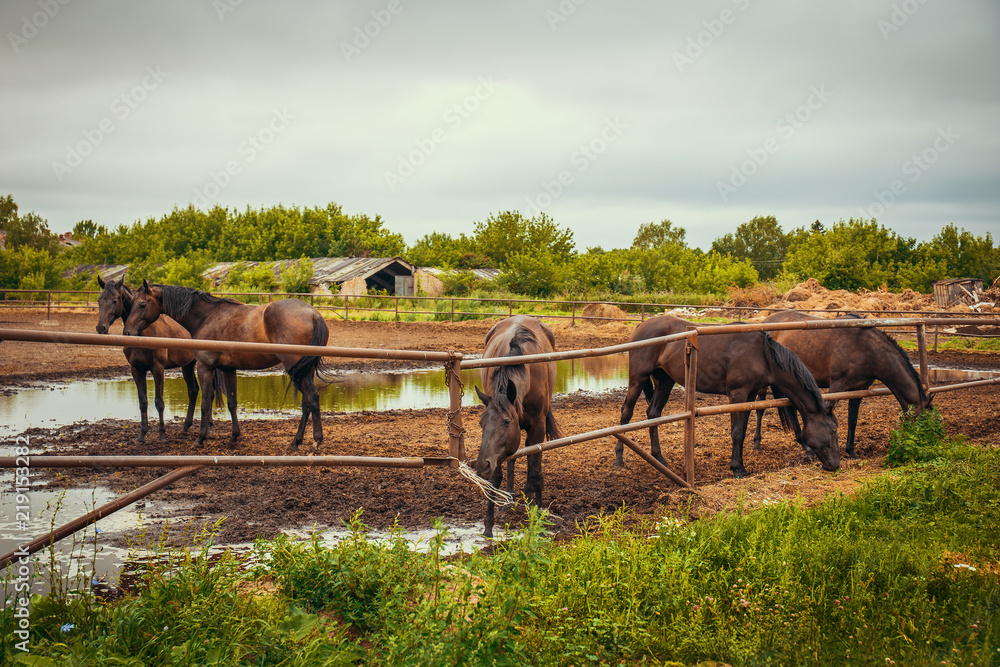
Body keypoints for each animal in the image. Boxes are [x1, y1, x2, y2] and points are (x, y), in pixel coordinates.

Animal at [95, 275, 200, 442]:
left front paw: (162, 434)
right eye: (99, 300)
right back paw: (185, 428)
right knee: (193, 391)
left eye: (115, 300)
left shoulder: (158, 369)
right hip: (187, 366)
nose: (101, 328)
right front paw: (142, 434)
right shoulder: (137, 370)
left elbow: (159, 402)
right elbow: (143, 402)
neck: (144, 334)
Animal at [123, 279, 331, 453]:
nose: (127, 332)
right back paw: (296, 442)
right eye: (131, 304)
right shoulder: (227, 369)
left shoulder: (205, 367)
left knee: (312, 399)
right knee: (306, 404)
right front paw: (234, 437)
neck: (207, 316)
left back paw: (315, 442)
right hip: (304, 371)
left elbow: (205, 402)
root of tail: (313, 314)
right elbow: (232, 403)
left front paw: (200, 439)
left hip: (296, 369)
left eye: (142, 304)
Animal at [474, 315, 562, 538]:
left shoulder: (537, 428)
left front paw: (537, 520)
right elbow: (496, 476)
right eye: (481, 423)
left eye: (506, 421)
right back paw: (510, 498)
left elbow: (534, 472)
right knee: (511, 459)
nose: (481, 466)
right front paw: (488, 525)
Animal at [616, 315, 839, 478]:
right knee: (626, 413)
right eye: (833, 430)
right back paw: (619, 460)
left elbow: (743, 431)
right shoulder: (737, 394)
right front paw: (737, 469)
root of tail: (642, 326)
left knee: (653, 414)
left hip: (665, 381)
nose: (836, 464)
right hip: (638, 377)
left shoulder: (749, 396)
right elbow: (737, 432)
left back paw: (659, 458)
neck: (762, 355)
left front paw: (740, 466)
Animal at [751, 310, 933, 457]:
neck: (866, 349)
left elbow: (852, 420)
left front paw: (850, 451)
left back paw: (802, 443)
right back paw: (757, 442)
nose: (928, 444)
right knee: (760, 408)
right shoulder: (836, 387)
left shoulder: (859, 389)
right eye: (922, 422)